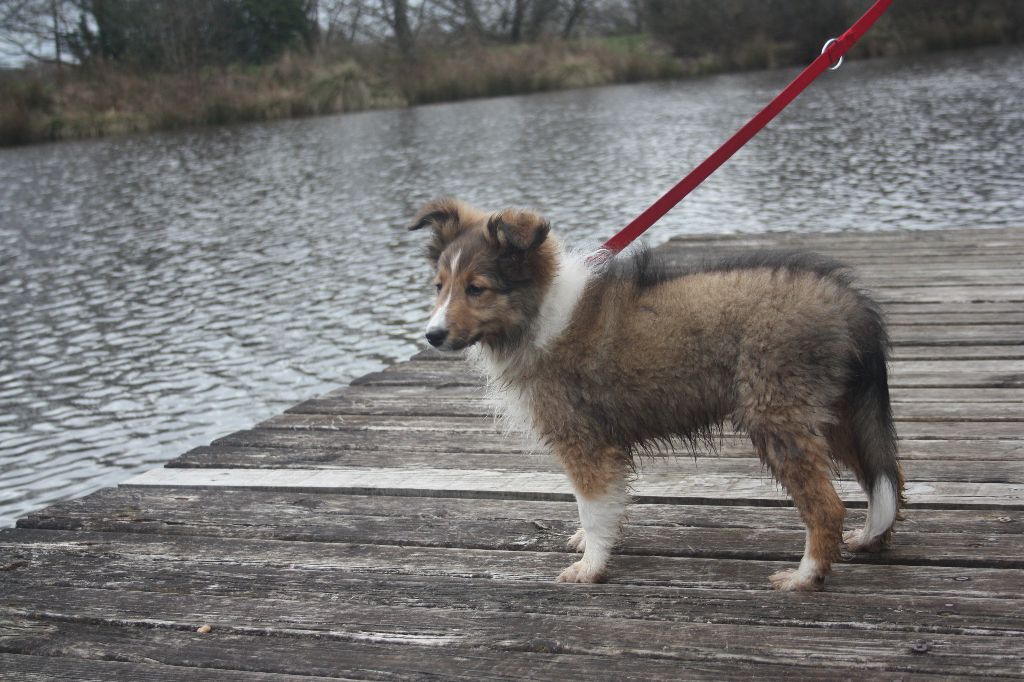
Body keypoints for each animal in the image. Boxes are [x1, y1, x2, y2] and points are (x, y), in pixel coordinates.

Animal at [407, 196, 905, 589]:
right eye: (439, 286)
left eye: (477, 288)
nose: (432, 336)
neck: (537, 311)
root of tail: (847, 299)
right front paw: (590, 547)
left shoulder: (582, 441)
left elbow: (593, 507)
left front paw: (590, 566)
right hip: (836, 414)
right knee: (885, 479)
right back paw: (868, 539)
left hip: (777, 416)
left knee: (827, 505)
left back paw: (805, 576)